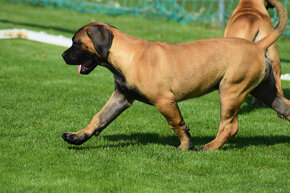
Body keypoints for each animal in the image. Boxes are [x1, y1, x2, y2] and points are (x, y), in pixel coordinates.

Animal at [60, 0, 288, 151]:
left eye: (76, 43)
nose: (63, 55)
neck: (126, 55)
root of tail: (258, 46)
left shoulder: (165, 101)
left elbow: (177, 124)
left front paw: (186, 146)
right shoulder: (121, 97)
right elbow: (99, 118)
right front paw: (77, 137)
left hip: (231, 90)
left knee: (229, 126)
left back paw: (210, 147)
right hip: (266, 91)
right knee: (285, 107)